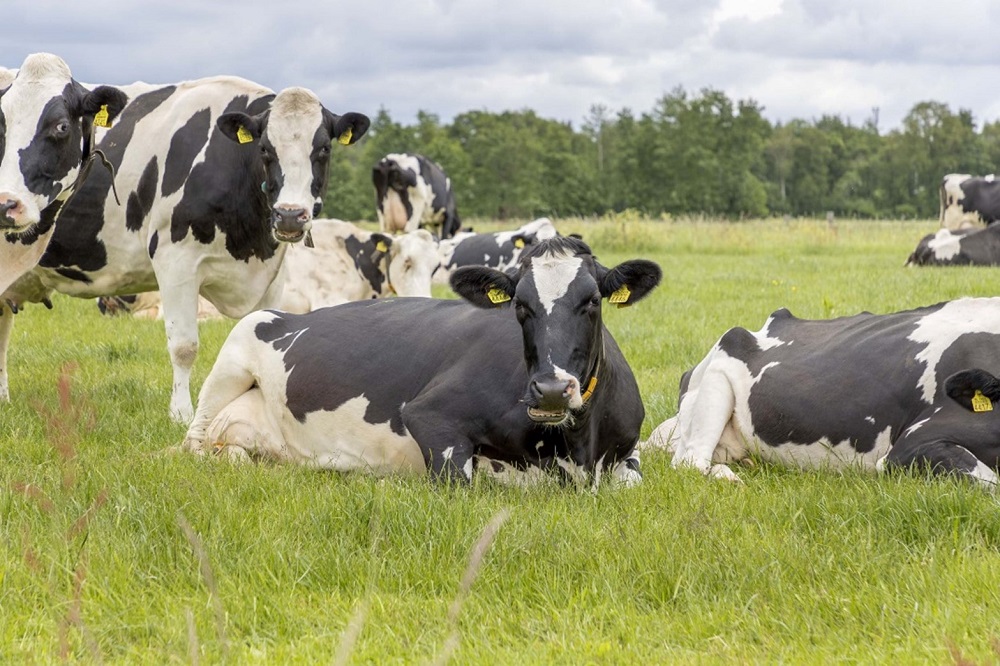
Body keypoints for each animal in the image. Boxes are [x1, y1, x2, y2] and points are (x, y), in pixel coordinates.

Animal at [1, 72, 370, 418]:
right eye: (265, 149)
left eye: (324, 149)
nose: (290, 216)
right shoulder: (175, 260)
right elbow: (184, 346)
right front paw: (181, 413)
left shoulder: (271, 278)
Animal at [178, 236, 664, 486]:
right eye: (520, 305)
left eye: (592, 301)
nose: (550, 389)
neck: (575, 447)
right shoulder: (430, 416)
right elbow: (461, 479)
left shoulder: (628, 452)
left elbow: (631, 480)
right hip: (235, 352)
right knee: (192, 444)